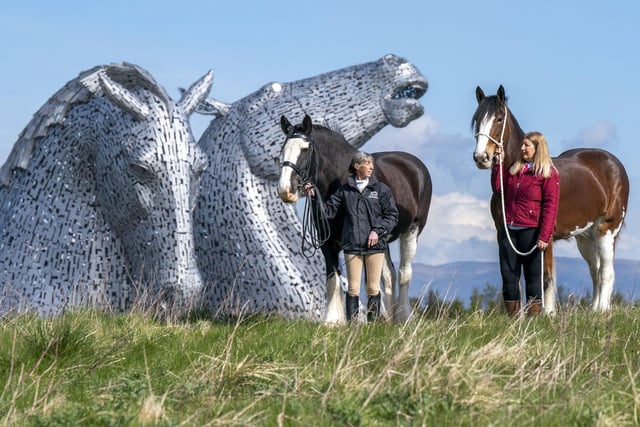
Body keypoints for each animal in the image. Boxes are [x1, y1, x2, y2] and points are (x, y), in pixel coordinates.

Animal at [278, 114, 432, 324]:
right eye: (283, 149)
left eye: (305, 149)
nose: (285, 191)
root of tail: (416, 166)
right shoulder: (327, 242)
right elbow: (333, 278)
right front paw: (333, 321)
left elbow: (366, 281)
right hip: (381, 240)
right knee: (389, 275)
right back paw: (387, 318)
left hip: (411, 231)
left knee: (403, 273)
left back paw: (402, 317)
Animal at [472, 85, 628, 312]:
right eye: (476, 119)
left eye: (499, 118)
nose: (481, 157)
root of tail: (614, 163)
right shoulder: (504, 233)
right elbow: (514, 277)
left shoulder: (545, 238)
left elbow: (545, 277)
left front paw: (548, 314)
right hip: (585, 237)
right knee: (596, 271)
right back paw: (593, 310)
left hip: (607, 230)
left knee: (606, 272)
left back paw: (601, 311)